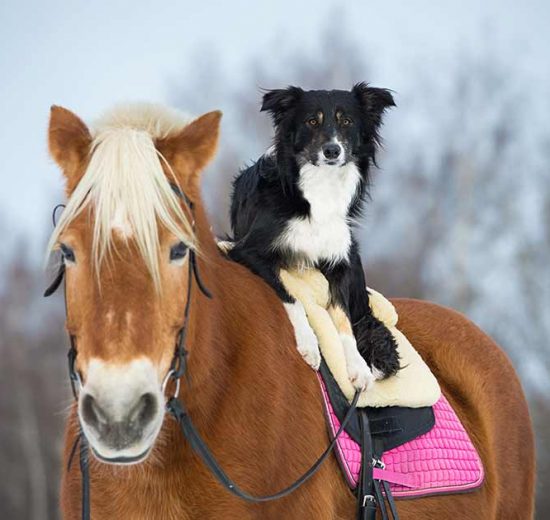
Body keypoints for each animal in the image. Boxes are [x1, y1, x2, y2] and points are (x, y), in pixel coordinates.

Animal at [229, 83, 402, 388]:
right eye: (312, 121)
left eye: (347, 121)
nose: (332, 150)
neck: (322, 187)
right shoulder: (248, 250)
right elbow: (291, 297)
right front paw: (309, 344)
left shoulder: (340, 263)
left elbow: (343, 318)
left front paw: (357, 365)